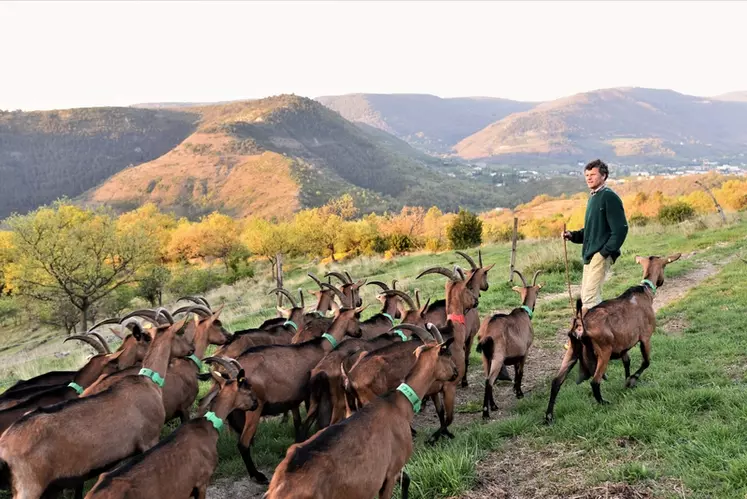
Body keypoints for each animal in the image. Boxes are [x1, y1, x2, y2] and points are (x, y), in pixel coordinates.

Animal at [0, 316, 196, 499]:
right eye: (178, 334)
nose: (191, 349)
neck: (148, 380)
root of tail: (4, 446)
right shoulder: (150, 440)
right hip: (29, 487)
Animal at [266, 324, 458, 499]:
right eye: (448, 354)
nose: (456, 372)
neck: (398, 403)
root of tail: (279, 488)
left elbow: (407, 480)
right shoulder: (391, 472)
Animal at [480, 272, 544, 420]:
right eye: (537, 292)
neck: (523, 312)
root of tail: (488, 332)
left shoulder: (516, 354)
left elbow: (516, 370)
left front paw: (516, 389)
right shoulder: (525, 351)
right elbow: (520, 372)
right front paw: (520, 393)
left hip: (486, 359)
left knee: (487, 379)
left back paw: (493, 406)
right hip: (497, 359)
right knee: (489, 381)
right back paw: (486, 412)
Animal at [544, 254, 684, 426]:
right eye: (664, 265)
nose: (661, 281)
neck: (644, 291)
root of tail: (580, 325)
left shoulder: (623, 345)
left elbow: (627, 362)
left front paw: (627, 381)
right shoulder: (645, 338)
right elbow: (646, 362)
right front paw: (632, 380)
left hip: (572, 352)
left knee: (556, 382)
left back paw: (549, 417)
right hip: (604, 352)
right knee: (595, 381)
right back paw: (604, 402)